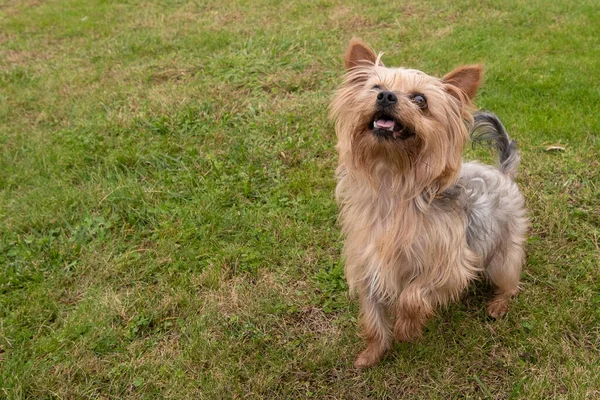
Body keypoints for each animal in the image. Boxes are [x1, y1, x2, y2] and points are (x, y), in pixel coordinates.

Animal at [328, 39, 528, 368]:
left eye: (420, 99)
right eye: (374, 87)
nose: (386, 96)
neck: (393, 182)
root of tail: (502, 172)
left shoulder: (452, 265)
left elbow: (413, 295)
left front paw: (406, 328)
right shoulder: (368, 264)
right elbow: (372, 315)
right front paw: (372, 353)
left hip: (503, 254)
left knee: (510, 281)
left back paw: (498, 304)